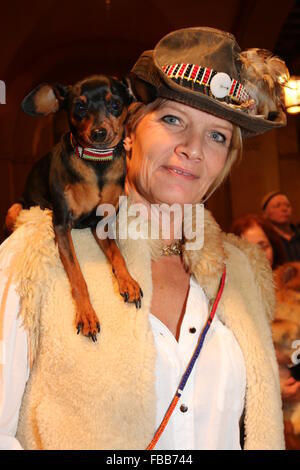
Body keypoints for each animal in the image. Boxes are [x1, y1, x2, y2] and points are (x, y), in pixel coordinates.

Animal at [6, 75, 142, 342]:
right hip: (17, 209)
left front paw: (128, 281)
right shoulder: (61, 225)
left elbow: (117, 255)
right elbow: (78, 275)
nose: (99, 133)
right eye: (79, 107)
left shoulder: (101, 225)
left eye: (115, 104)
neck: (97, 163)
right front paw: (87, 315)